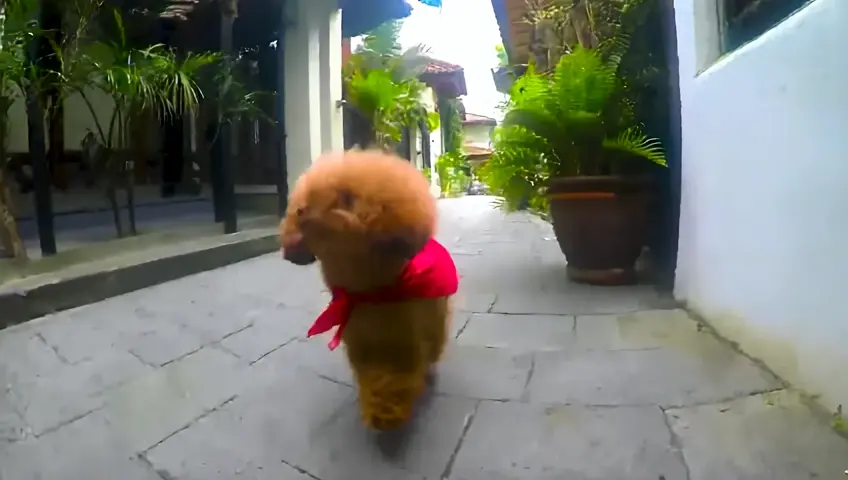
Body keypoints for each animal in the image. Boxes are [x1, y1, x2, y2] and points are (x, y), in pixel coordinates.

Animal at [280, 150, 458, 432]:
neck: (368, 293)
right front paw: (379, 409)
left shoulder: (404, 341)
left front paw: (388, 413)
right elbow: (372, 376)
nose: (302, 211)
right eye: (300, 208)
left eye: (349, 198)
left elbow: (396, 376)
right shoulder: (361, 343)